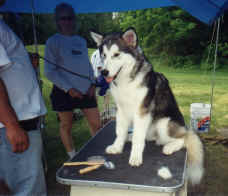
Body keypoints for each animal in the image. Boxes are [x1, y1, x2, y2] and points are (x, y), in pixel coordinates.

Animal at [90, 28, 203, 185]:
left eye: (116, 54)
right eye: (104, 55)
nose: (104, 72)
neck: (127, 81)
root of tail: (185, 127)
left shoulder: (142, 112)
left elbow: (139, 138)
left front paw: (135, 157)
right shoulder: (121, 110)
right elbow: (120, 131)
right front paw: (118, 146)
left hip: (163, 123)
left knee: (184, 138)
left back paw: (169, 146)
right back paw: (130, 137)